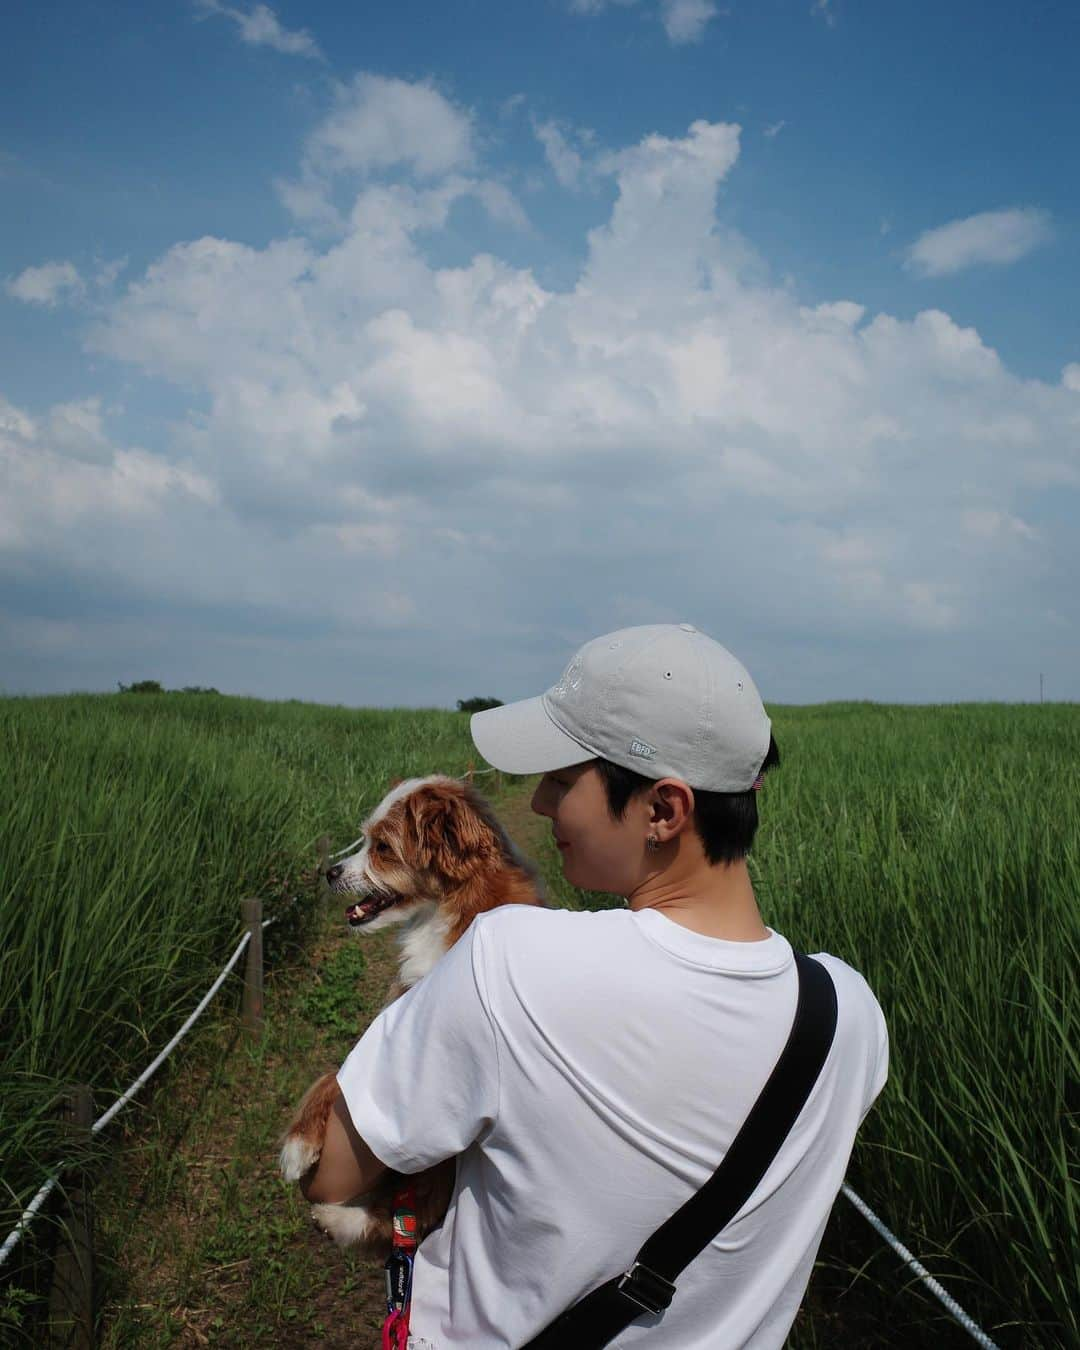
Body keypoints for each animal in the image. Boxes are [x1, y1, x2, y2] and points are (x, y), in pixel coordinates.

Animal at [280, 777, 540, 1258]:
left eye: (382, 847)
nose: (330, 872)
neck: (448, 913)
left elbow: (335, 1077)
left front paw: (295, 1146)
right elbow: (332, 1074)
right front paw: (299, 1141)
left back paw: (340, 1218)